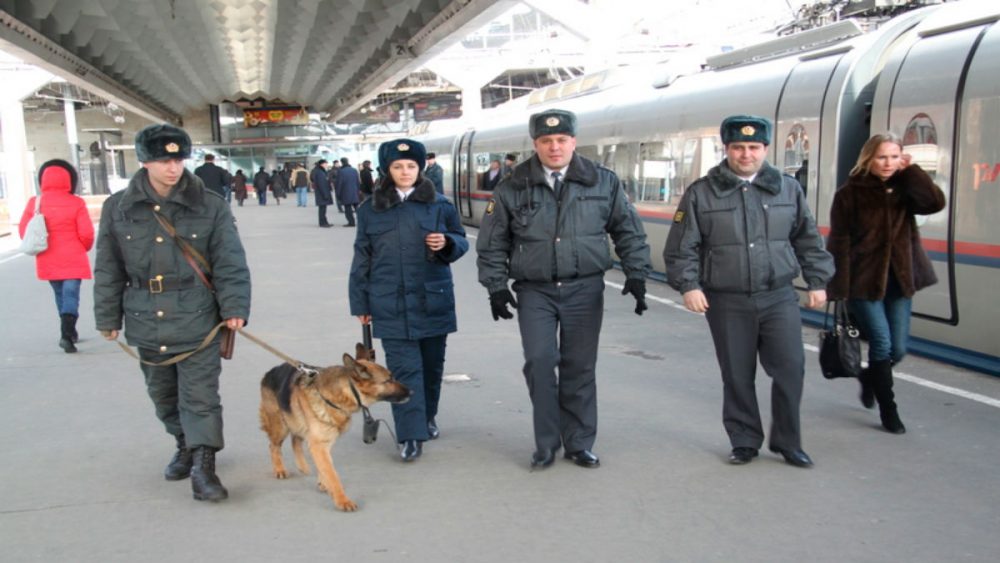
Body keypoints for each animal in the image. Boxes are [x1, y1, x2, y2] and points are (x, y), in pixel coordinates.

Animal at [262, 344, 414, 512]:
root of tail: (271, 371)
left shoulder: (324, 443)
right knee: (273, 446)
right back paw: (279, 469)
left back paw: (302, 466)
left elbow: (326, 468)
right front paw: (342, 500)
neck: (340, 394)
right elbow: (332, 475)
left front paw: (324, 483)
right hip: (280, 426)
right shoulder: (318, 444)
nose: (412, 392)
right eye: (389, 380)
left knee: (295, 439)